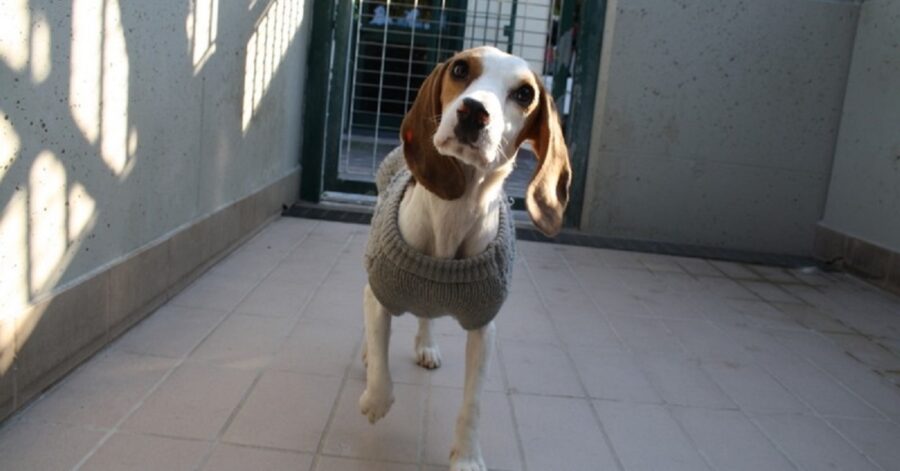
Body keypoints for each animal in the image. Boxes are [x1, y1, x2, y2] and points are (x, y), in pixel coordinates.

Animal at [358, 45, 568, 471]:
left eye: (524, 93)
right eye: (459, 69)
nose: (474, 111)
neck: (452, 214)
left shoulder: (484, 328)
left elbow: (473, 404)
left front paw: (467, 456)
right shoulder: (377, 293)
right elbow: (381, 361)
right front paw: (375, 396)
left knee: (426, 315)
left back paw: (426, 344)